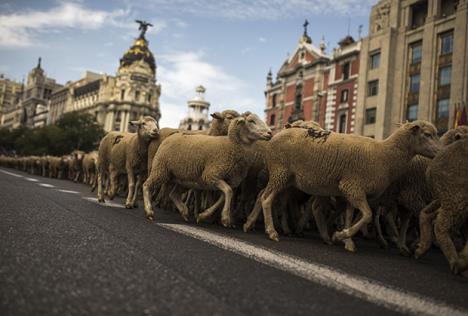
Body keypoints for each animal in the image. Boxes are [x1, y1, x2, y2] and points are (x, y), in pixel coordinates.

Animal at [144, 111, 272, 225]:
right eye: (251, 121)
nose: (270, 133)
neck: (232, 145)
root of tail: (172, 135)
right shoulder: (211, 175)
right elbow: (228, 191)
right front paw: (225, 218)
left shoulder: (229, 180)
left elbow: (223, 196)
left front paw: (204, 215)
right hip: (160, 170)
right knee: (146, 185)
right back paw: (149, 211)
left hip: (182, 178)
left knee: (173, 194)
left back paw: (184, 212)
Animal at [258, 119, 440, 243]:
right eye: (427, 134)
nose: (439, 152)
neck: (385, 154)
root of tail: (277, 134)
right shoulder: (352, 186)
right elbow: (367, 215)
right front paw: (341, 235)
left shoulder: (354, 191)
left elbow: (352, 215)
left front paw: (345, 239)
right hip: (280, 172)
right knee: (266, 199)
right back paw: (272, 231)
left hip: (289, 179)